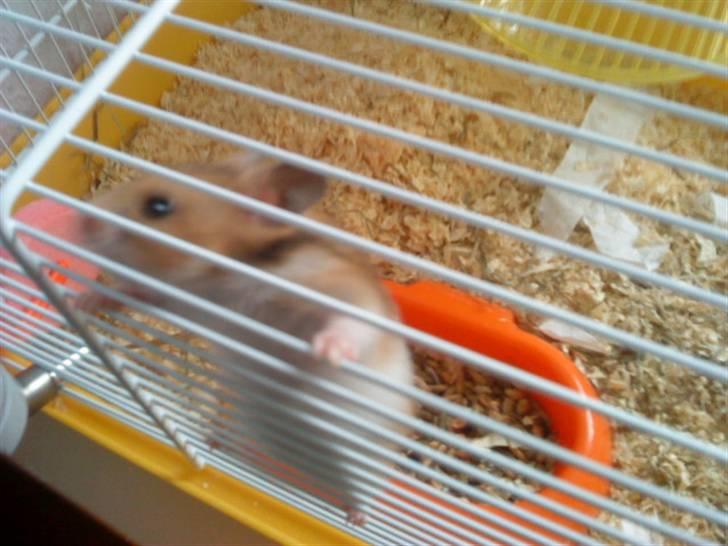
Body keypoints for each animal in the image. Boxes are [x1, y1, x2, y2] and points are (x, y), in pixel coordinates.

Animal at [76, 153, 415, 525]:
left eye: (158, 205)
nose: (82, 218)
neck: (229, 281)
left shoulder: (341, 287)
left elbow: (352, 322)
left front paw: (325, 351)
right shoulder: (182, 302)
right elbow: (132, 293)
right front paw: (85, 301)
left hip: (368, 465)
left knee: (362, 495)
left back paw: (355, 518)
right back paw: (213, 445)